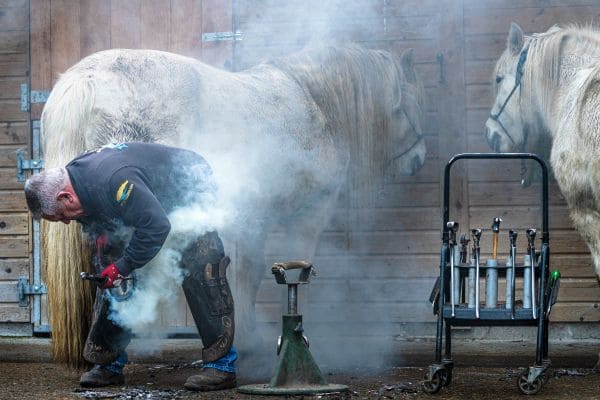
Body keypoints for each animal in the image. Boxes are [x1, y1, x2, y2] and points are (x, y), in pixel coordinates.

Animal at [41, 44, 426, 366]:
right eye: (410, 103)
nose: (418, 160)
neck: (313, 101)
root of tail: (84, 81)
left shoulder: (254, 218)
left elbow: (248, 271)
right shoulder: (310, 213)